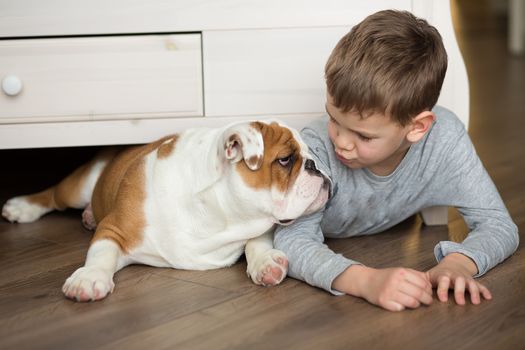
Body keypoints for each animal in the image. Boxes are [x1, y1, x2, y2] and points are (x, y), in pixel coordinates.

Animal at [1, 121, 328, 300]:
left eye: (309, 155)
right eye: (285, 160)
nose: (316, 165)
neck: (220, 216)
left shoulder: (259, 224)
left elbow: (257, 240)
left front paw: (265, 262)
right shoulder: (114, 228)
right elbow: (101, 253)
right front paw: (89, 278)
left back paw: (87, 216)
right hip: (79, 186)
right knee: (54, 195)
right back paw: (21, 207)